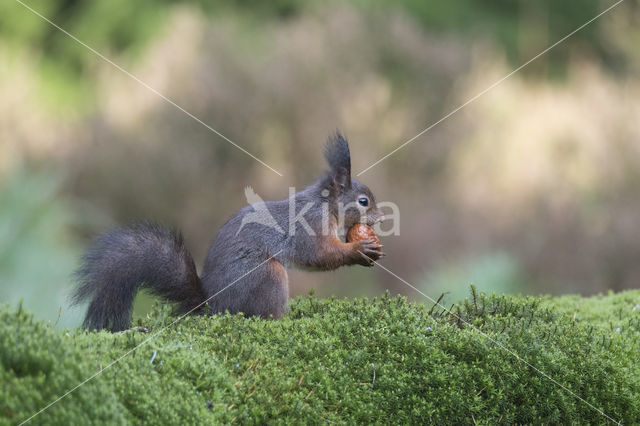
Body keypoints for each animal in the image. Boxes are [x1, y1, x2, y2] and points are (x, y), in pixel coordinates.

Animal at [75, 131, 384, 332]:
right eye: (363, 201)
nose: (379, 218)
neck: (325, 204)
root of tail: (212, 305)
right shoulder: (309, 225)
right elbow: (319, 255)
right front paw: (359, 249)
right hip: (266, 275)